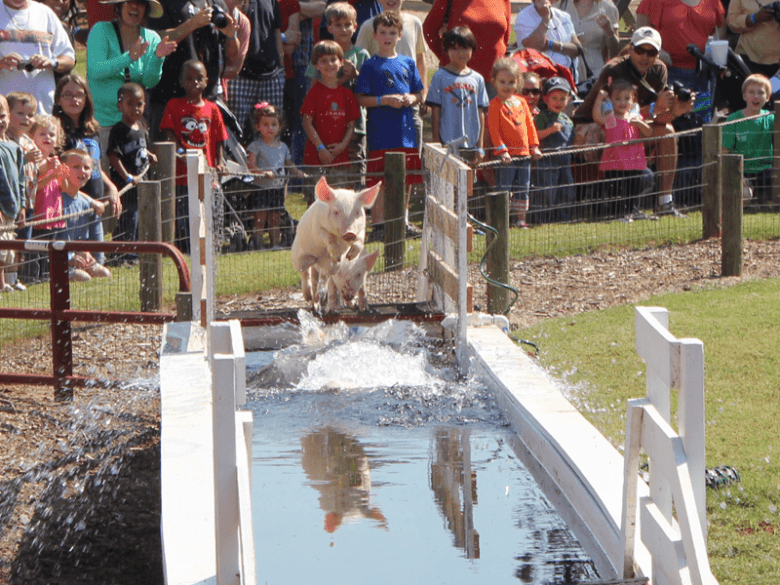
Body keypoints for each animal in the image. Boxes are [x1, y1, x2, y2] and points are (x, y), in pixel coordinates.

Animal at [290, 177, 380, 306]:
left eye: (357, 212)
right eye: (336, 212)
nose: (349, 233)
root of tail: (317, 259)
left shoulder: (362, 228)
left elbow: (359, 240)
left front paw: (349, 256)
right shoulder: (318, 228)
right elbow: (328, 238)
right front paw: (337, 254)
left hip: (329, 268)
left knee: (325, 276)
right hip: (298, 257)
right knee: (304, 272)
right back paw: (308, 297)